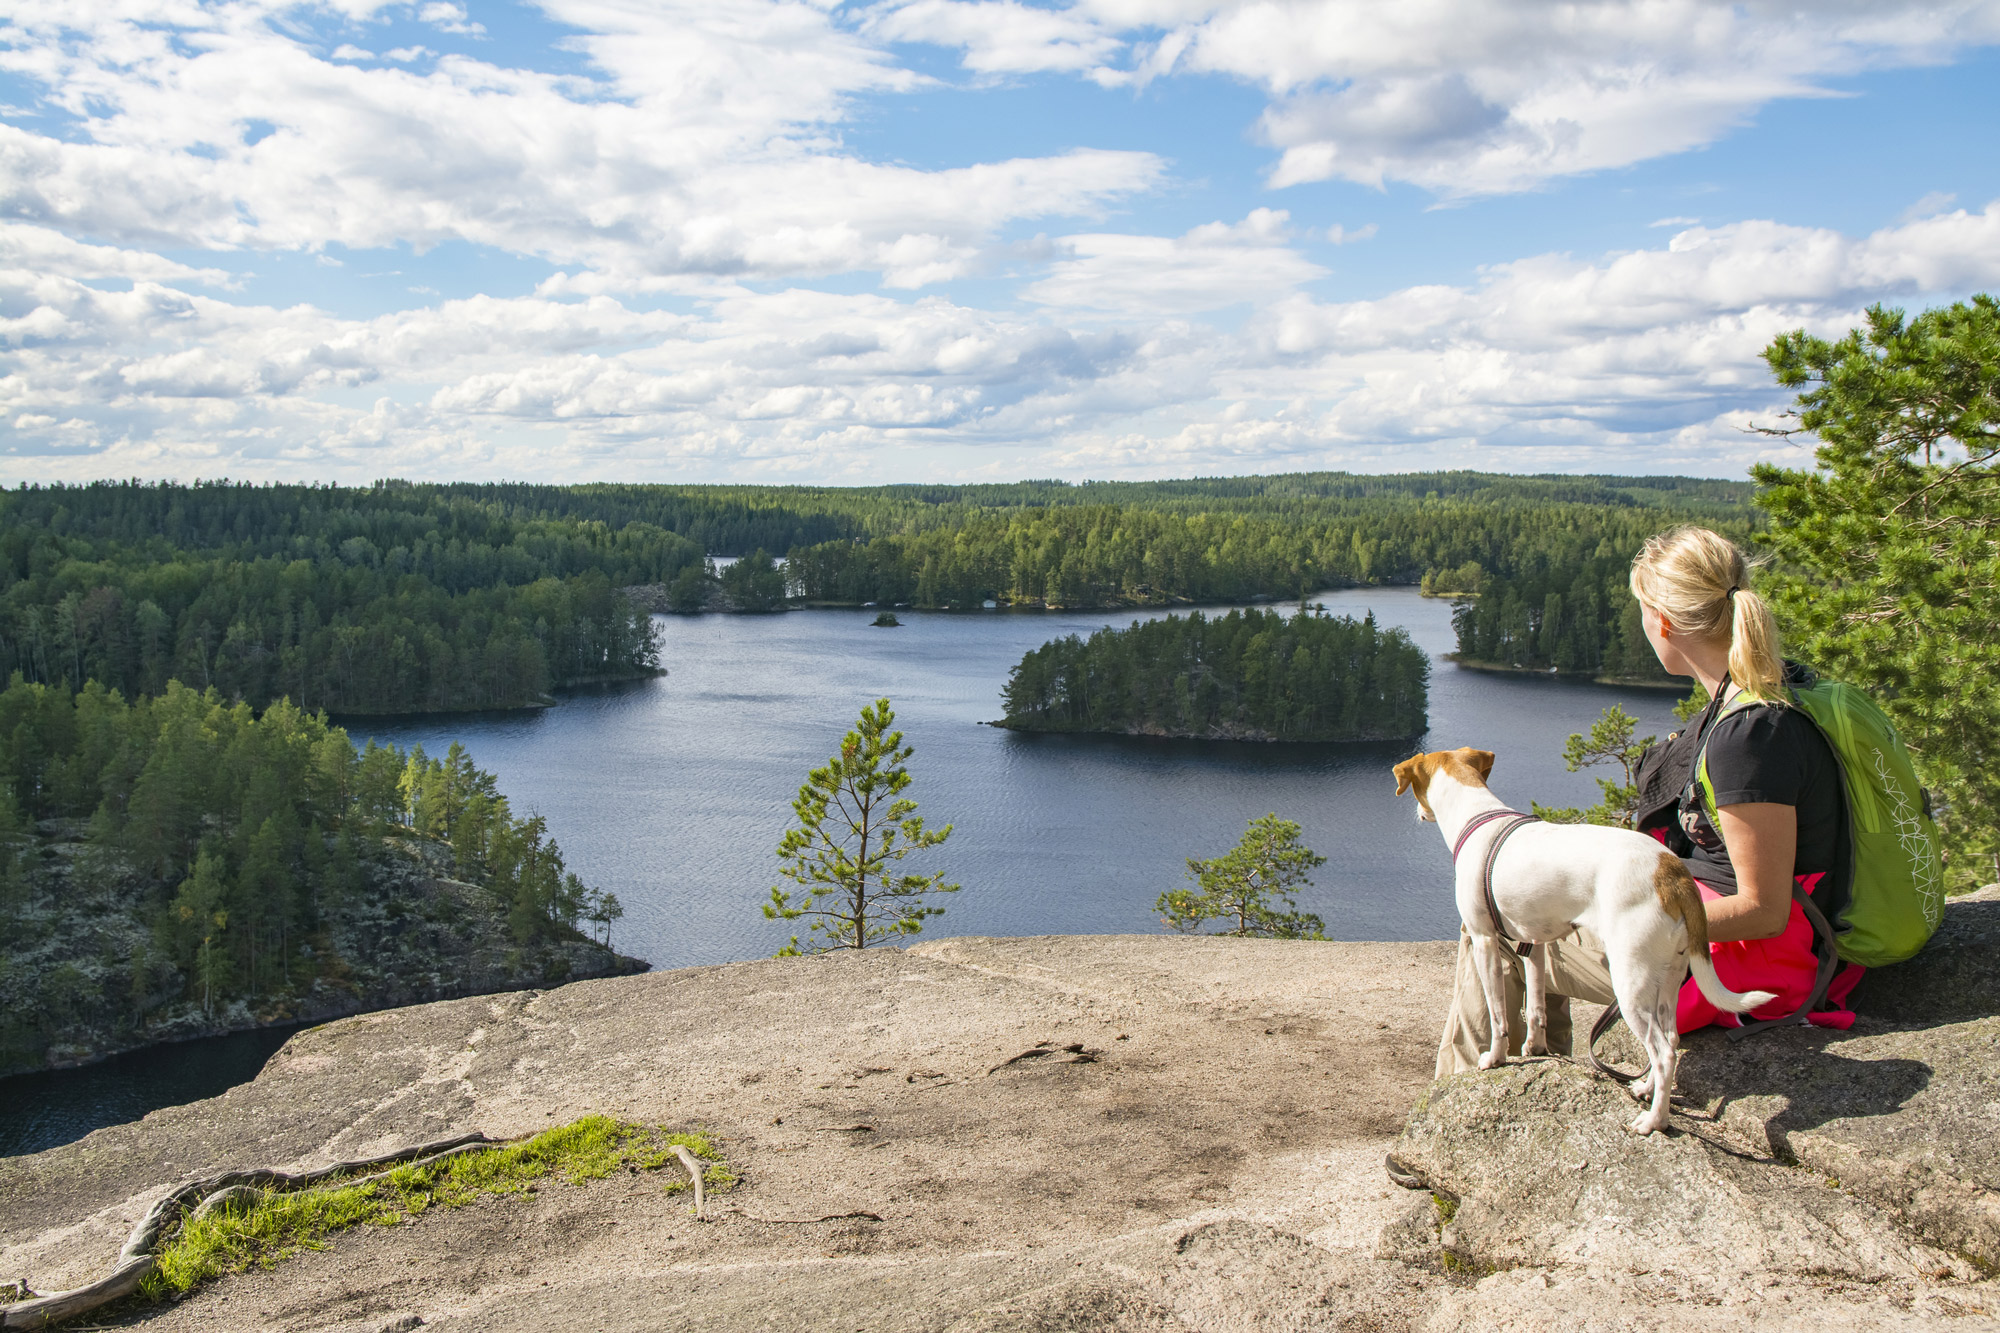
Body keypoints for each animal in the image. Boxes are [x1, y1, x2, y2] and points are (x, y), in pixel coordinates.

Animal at [1400, 740, 1776, 1128]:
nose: (1417, 812)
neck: (1479, 816)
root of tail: (1673, 872)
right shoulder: (1535, 943)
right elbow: (1536, 1006)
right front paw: (1535, 1047)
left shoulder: (1485, 939)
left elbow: (1498, 1013)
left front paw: (1496, 1057)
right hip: (1670, 977)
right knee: (1670, 1039)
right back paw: (1645, 1089)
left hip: (1631, 984)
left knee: (1662, 1053)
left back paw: (1654, 1121)